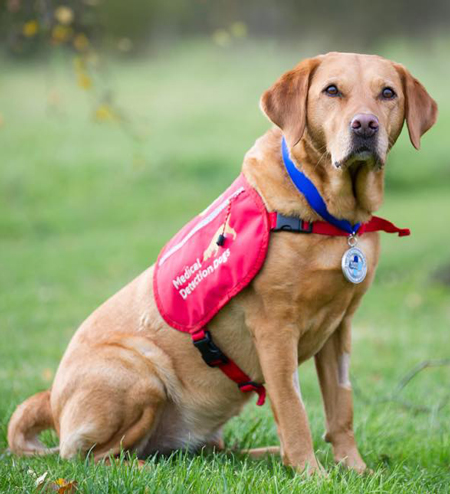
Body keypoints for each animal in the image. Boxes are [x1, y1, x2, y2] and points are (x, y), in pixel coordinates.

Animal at [8, 52, 437, 474]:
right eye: (332, 90)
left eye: (387, 93)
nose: (365, 125)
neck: (329, 213)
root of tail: (52, 400)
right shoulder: (274, 330)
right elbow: (294, 411)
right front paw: (311, 474)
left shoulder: (340, 329)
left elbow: (341, 409)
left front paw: (354, 469)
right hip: (142, 374)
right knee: (93, 458)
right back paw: (149, 467)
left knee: (202, 451)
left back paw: (260, 455)